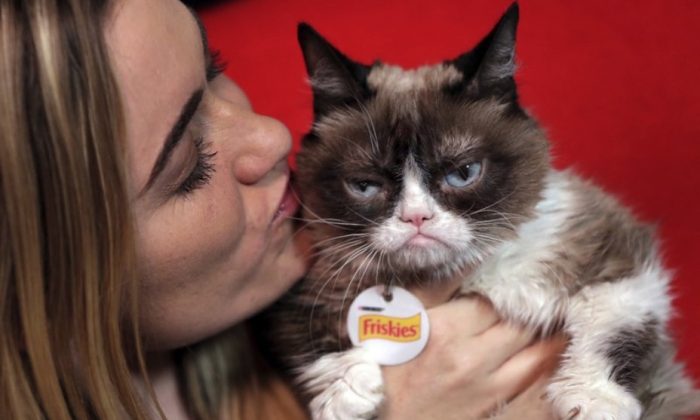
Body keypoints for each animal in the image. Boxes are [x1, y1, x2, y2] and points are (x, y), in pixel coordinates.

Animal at [260, 3, 696, 420]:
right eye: (366, 186)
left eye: (464, 173)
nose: (416, 218)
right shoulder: (303, 287)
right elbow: (314, 340)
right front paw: (345, 394)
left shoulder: (613, 251)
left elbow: (612, 319)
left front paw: (593, 398)